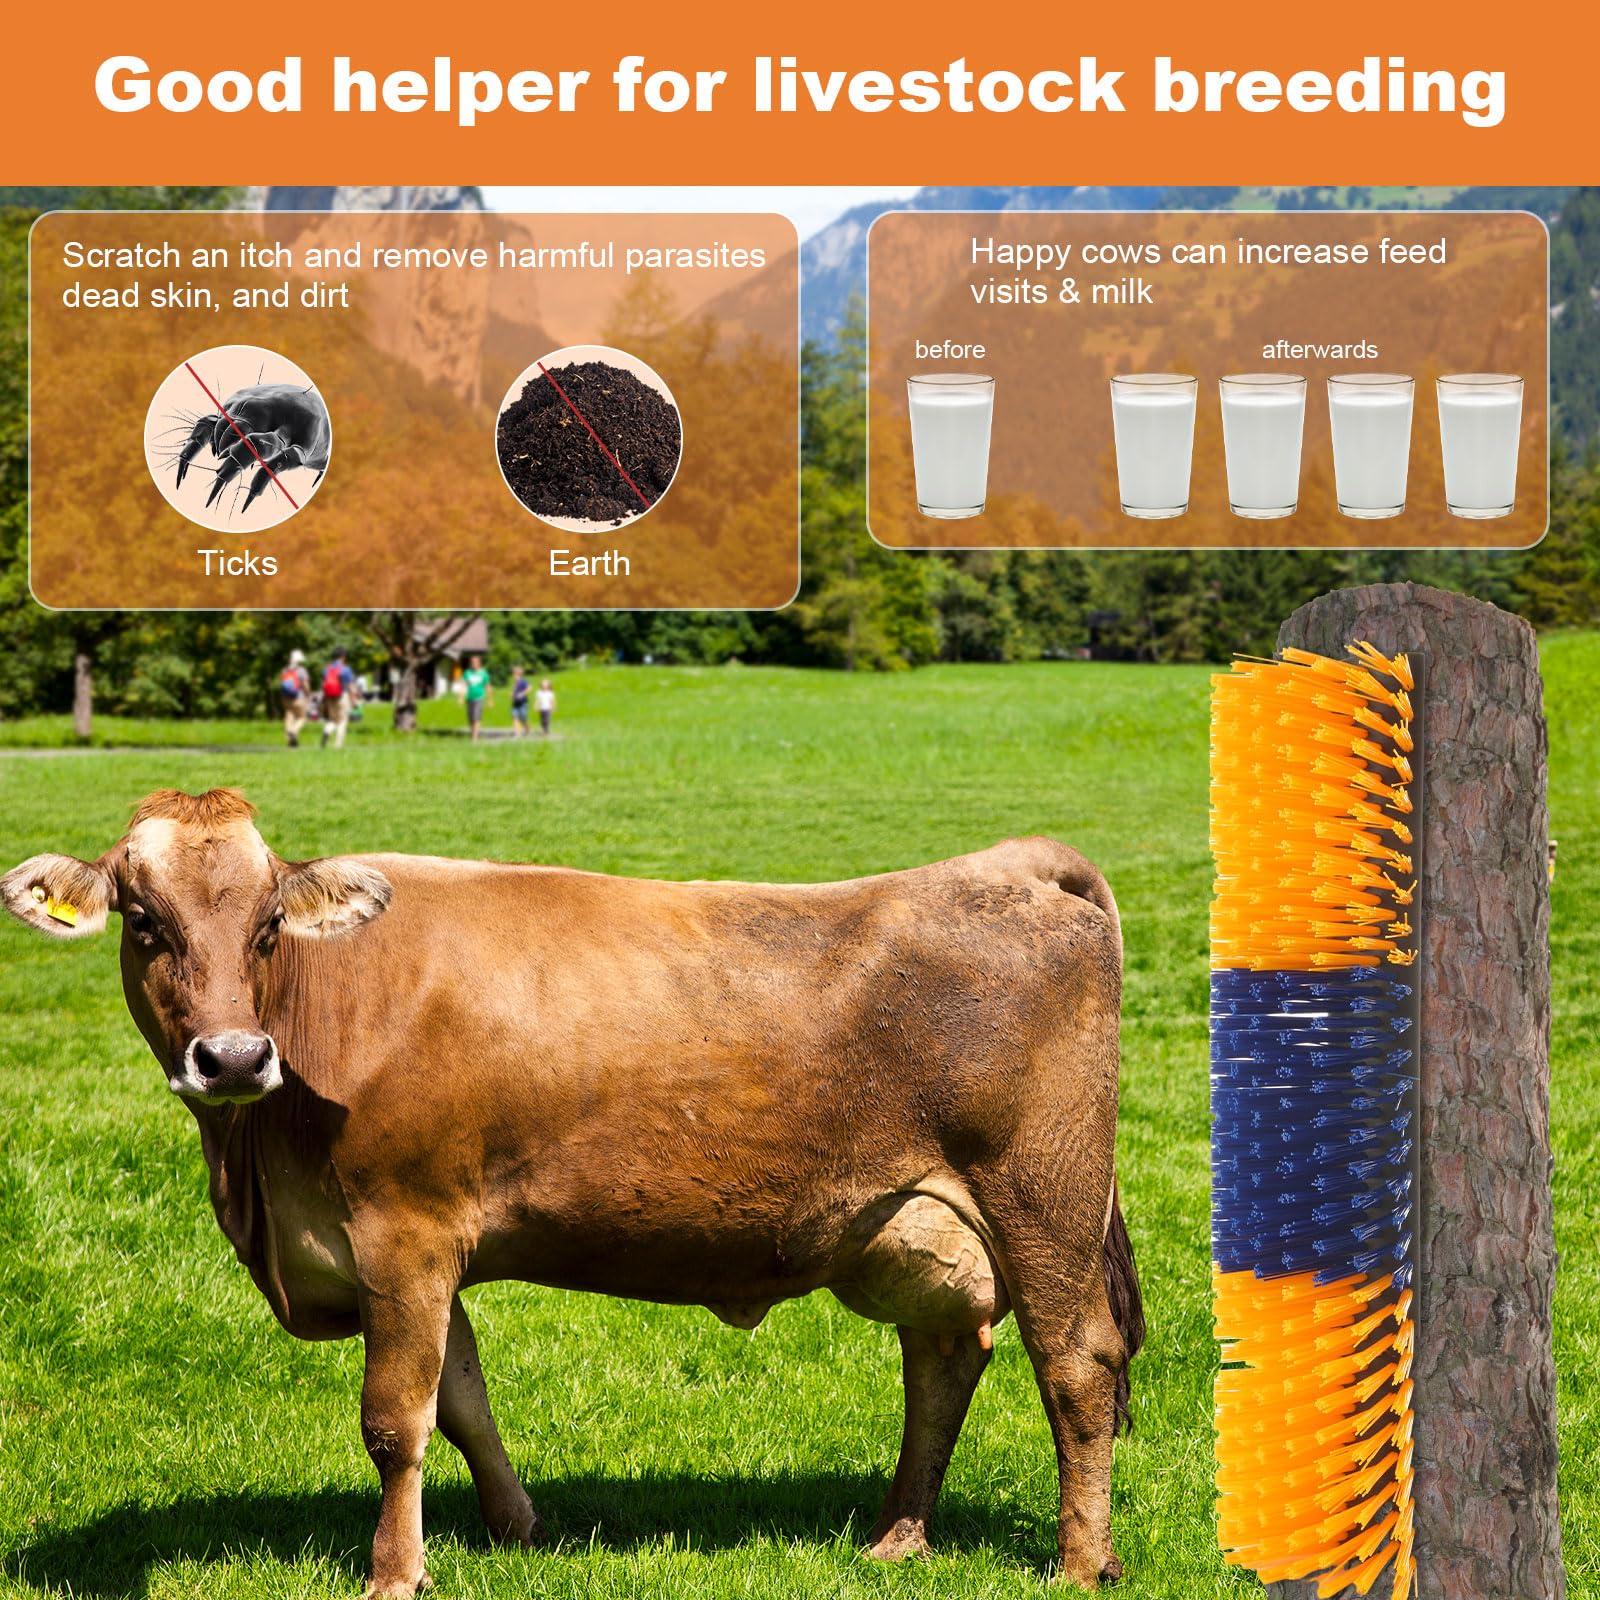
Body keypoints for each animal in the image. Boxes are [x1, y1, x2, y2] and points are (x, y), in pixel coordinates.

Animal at [3, 789, 1143, 1594]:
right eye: (142, 921)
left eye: (268, 926)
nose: (234, 1056)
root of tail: (1007, 865)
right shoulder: (419, 1250)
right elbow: (463, 1398)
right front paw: (517, 1531)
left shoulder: (402, 1235)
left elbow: (396, 1419)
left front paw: (391, 1572)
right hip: (914, 1224)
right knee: (944, 1358)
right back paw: (899, 1539)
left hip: (1041, 1195)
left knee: (1076, 1363)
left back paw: (1077, 1562)